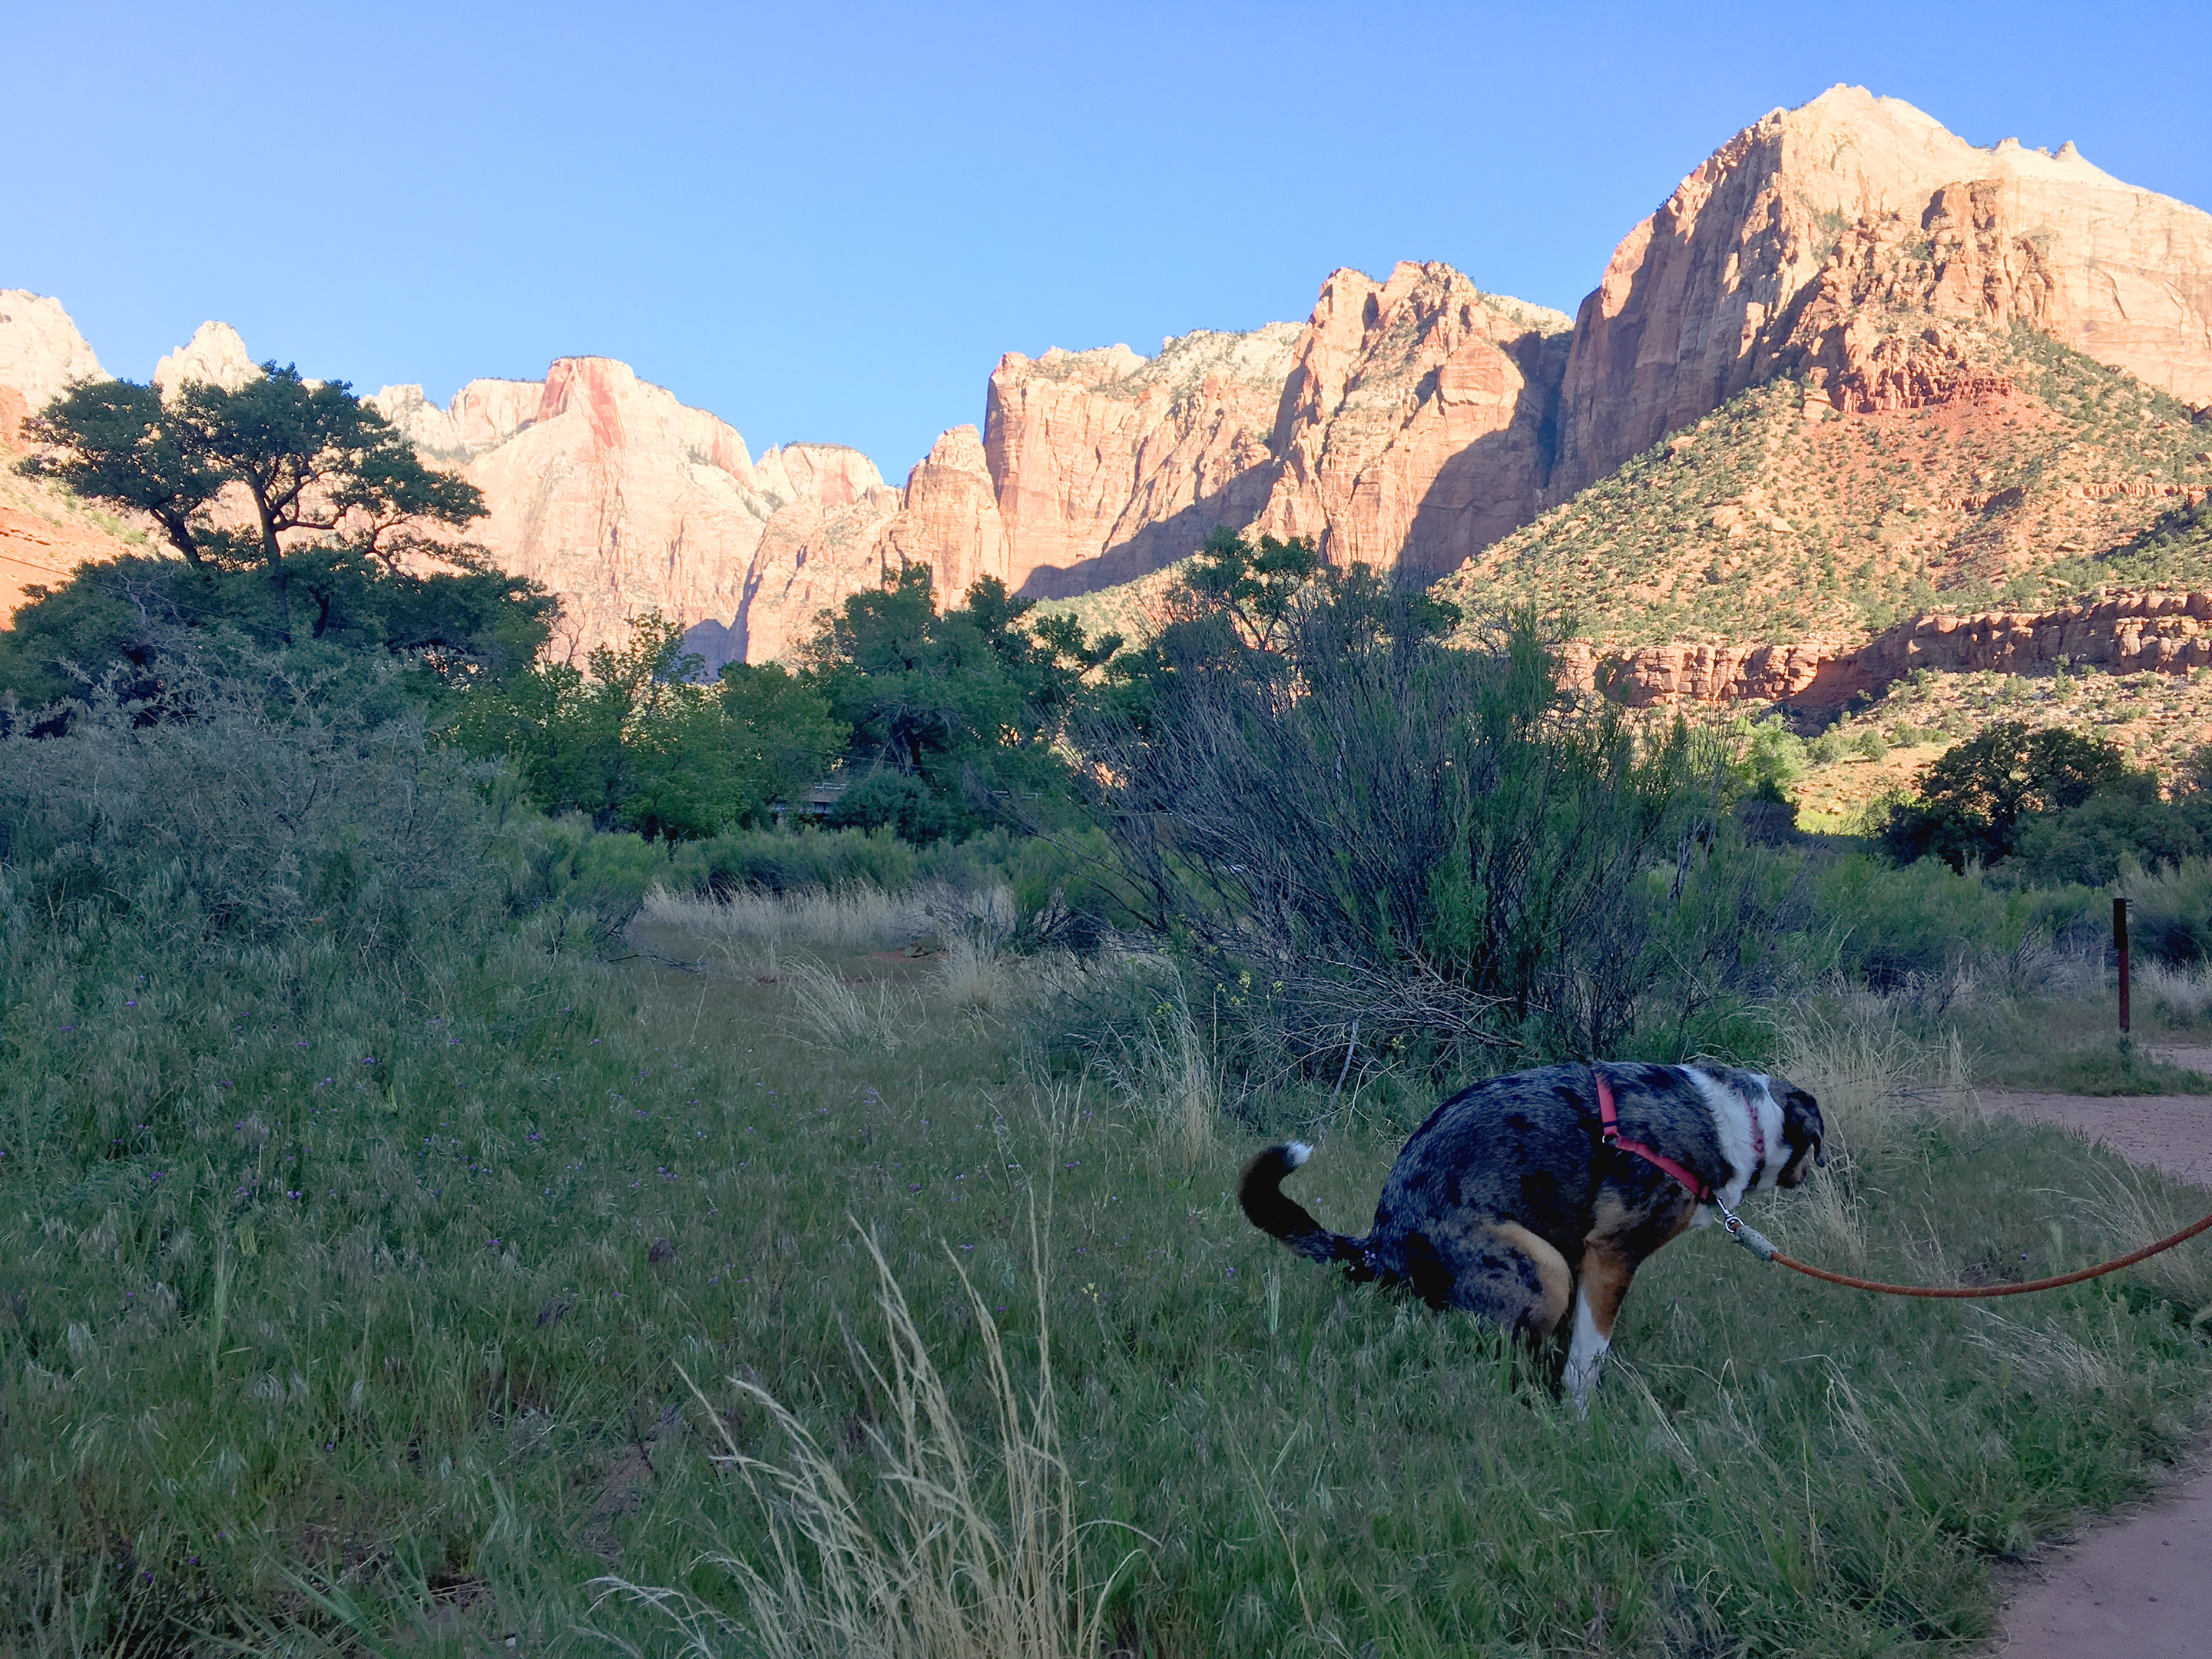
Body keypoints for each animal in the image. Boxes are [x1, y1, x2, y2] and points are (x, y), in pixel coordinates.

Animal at [1238, 1066, 1823, 1406]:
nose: (1813, 1172)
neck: (1736, 1123)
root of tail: (1380, 1242)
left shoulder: (1585, 1253)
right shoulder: (1612, 1255)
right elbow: (1587, 1357)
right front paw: (1579, 1416)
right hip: (1543, 1271)